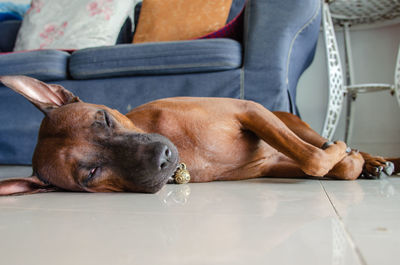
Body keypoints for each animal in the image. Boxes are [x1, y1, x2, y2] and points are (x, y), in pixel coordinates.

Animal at [0, 75, 398, 195]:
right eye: (90, 174)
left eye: (105, 119)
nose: (163, 156)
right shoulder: (279, 165)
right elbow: (318, 163)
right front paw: (347, 160)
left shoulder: (249, 109)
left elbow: (318, 155)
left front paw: (349, 152)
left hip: (289, 121)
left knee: (314, 141)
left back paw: (375, 160)